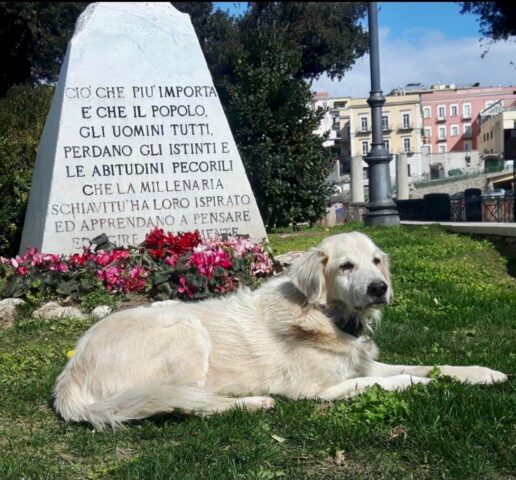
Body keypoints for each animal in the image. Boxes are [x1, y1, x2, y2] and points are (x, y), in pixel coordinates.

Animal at [53, 231, 508, 430]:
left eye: (377, 261)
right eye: (346, 266)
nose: (380, 288)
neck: (326, 317)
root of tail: (69, 379)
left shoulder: (361, 365)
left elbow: (428, 366)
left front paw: (482, 373)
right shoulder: (321, 390)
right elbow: (395, 381)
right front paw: (427, 385)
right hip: (183, 328)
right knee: (186, 403)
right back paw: (253, 402)